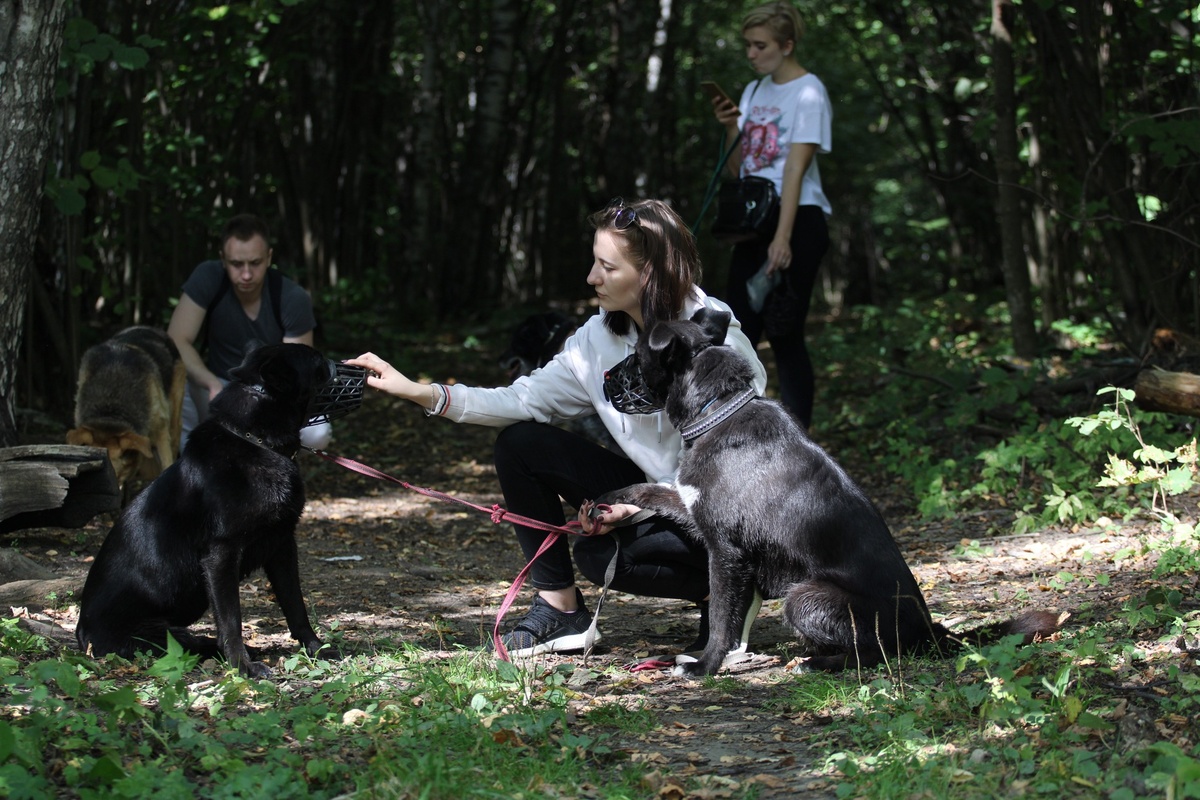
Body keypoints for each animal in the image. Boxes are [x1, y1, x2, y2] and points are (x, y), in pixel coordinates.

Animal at [66, 326, 184, 501]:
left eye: (113, 478)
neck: (111, 411)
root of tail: (150, 328)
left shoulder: (160, 433)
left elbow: (166, 465)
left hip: (174, 420)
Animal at [77, 345, 336, 676]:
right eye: (318, 362)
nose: (346, 363)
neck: (255, 441)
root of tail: (81, 634)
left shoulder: (282, 546)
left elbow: (295, 605)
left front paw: (314, 648)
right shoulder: (222, 555)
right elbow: (231, 620)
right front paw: (243, 667)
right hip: (163, 634)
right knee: (198, 643)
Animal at [595, 309, 1065, 681]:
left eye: (636, 357)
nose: (605, 378)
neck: (718, 410)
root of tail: (932, 631)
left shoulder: (726, 551)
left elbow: (722, 618)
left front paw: (704, 666)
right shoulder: (696, 513)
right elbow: (652, 490)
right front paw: (607, 499)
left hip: (805, 597)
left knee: (879, 654)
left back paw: (818, 663)